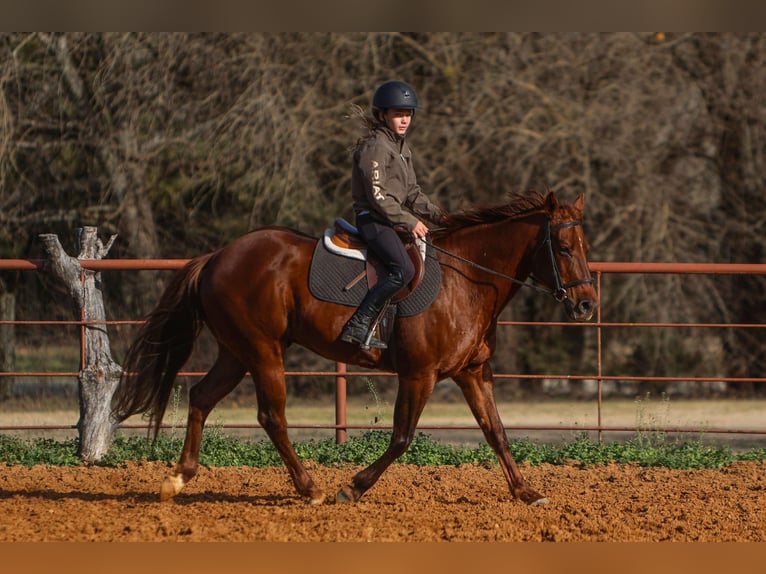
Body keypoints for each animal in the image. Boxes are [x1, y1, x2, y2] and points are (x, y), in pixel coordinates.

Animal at [111, 191, 600, 506]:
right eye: (562, 246)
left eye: (584, 245)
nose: (586, 304)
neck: (467, 281)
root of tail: (216, 256)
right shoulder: (419, 375)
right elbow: (402, 438)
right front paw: (354, 487)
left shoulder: (473, 373)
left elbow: (496, 432)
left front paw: (527, 493)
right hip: (263, 352)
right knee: (272, 416)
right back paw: (310, 488)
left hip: (236, 353)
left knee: (201, 397)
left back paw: (178, 479)